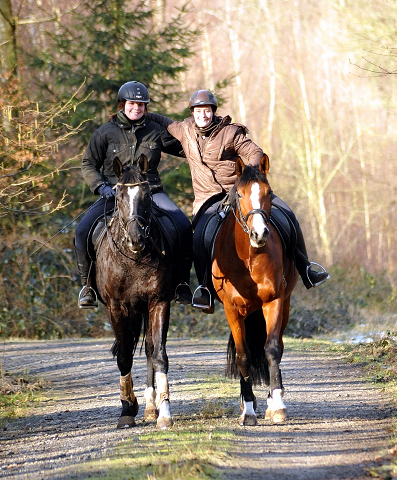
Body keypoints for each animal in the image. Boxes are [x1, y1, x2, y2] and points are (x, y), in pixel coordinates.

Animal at [95, 156, 176, 430]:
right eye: (118, 196)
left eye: (147, 195)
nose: (136, 239)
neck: (134, 260)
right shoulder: (116, 307)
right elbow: (123, 357)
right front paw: (127, 410)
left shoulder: (158, 302)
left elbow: (159, 355)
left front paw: (164, 413)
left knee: (150, 349)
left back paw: (151, 407)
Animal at [212, 154, 296, 424]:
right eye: (239, 194)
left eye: (269, 193)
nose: (259, 234)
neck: (249, 256)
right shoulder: (232, 310)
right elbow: (243, 356)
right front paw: (248, 410)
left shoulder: (274, 301)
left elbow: (272, 350)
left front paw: (277, 405)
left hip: (284, 304)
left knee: (277, 345)